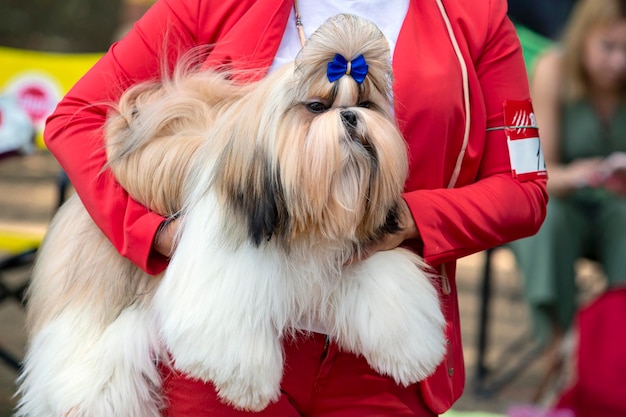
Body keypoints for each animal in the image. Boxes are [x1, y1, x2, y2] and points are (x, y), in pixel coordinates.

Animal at [14, 13, 444, 416]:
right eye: (317, 107)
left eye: (367, 105)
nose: (352, 116)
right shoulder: (222, 270)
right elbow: (228, 329)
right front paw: (248, 388)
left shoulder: (360, 248)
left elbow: (390, 287)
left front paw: (411, 353)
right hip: (103, 281)